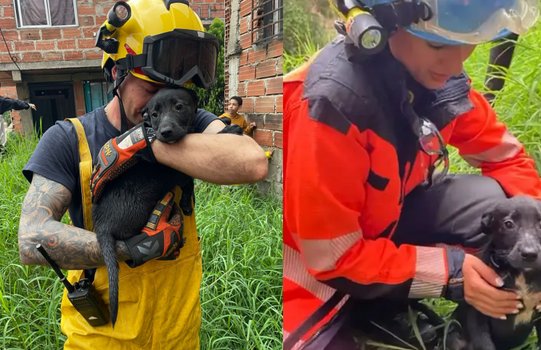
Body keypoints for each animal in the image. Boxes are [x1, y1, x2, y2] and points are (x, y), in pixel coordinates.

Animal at [92, 86, 243, 326]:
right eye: (154, 115)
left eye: (179, 107)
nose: (164, 133)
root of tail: (101, 227)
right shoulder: (178, 171)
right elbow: (188, 181)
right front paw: (230, 129)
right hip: (138, 210)